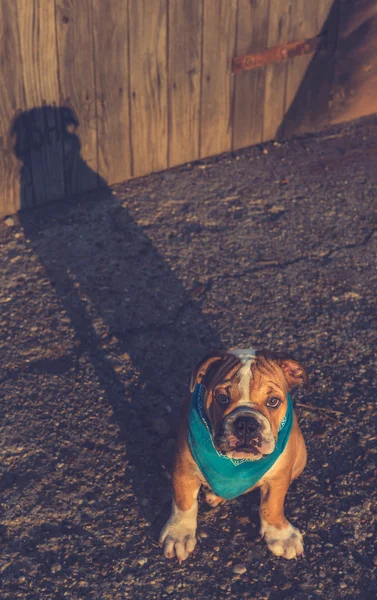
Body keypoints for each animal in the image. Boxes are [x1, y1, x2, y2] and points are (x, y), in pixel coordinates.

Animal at [159, 346, 308, 564]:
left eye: (273, 401)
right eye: (222, 398)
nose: (246, 422)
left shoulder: (279, 476)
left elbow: (272, 505)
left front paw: (280, 535)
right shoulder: (183, 469)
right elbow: (184, 501)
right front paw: (179, 533)